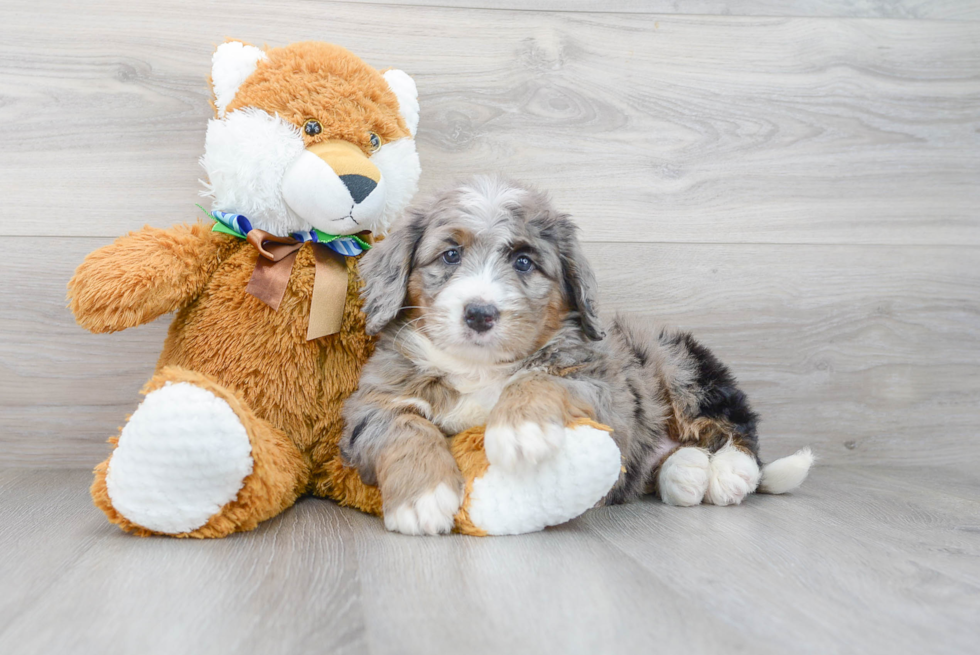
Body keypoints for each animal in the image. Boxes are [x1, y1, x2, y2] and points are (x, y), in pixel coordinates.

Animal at [340, 177, 816, 536]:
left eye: (524, 261)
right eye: (450, 254)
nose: (479, 313)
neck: (479, 368)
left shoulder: (604, 386)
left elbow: (540, 377)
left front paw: (521, 429)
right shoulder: (372, 403)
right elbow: (405, 427)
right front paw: (423, 499)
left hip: (679, 362)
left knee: (739, 431)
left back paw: (730, 472)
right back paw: (686, 472)